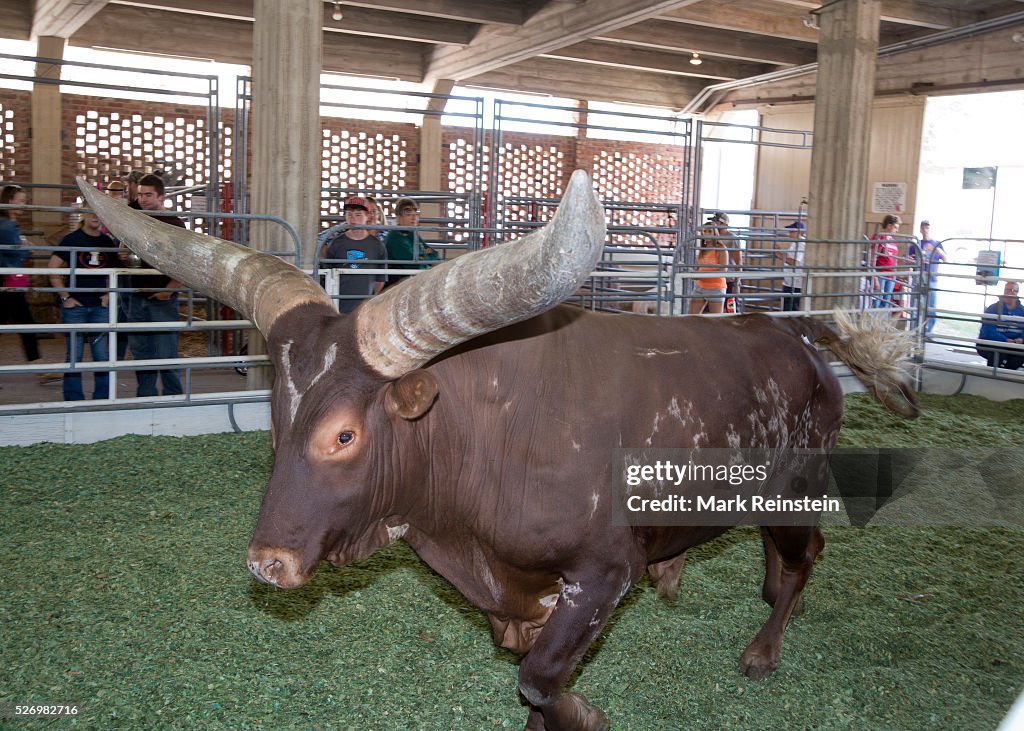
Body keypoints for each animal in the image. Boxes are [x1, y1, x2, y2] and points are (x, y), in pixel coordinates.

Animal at [75, 172, 917, 728]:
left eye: (343, 434)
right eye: (277, 421)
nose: (267, 563)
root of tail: (798, 334)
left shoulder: (604, 571)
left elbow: (541, 681)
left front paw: (584, 711)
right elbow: (528, 675)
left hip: (796, 481)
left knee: (804, 554)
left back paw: (764, 647)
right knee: (780, 557)